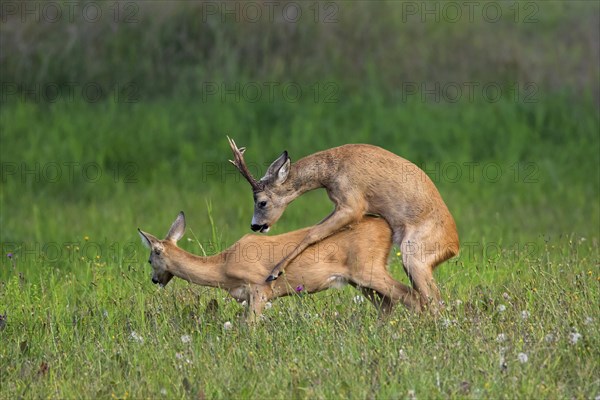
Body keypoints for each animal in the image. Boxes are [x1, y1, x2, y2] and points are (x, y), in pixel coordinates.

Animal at [140, 212, 422, 322]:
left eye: (151, 259)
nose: (154, 280)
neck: (222, 266)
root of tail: (386, 227)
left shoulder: (259, 288)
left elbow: (249, 326)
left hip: (369, 268)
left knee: (411, 295)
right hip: (359, 280)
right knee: (388, 303)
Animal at [226, 138, 460, 310]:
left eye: (262, 202)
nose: (256, 226)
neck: (332, 170)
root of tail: (454, 246)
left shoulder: (352, 204)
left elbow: (312, 234)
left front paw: (275, 272)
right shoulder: (339, 204)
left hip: (415, 255)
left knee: (434, 301)